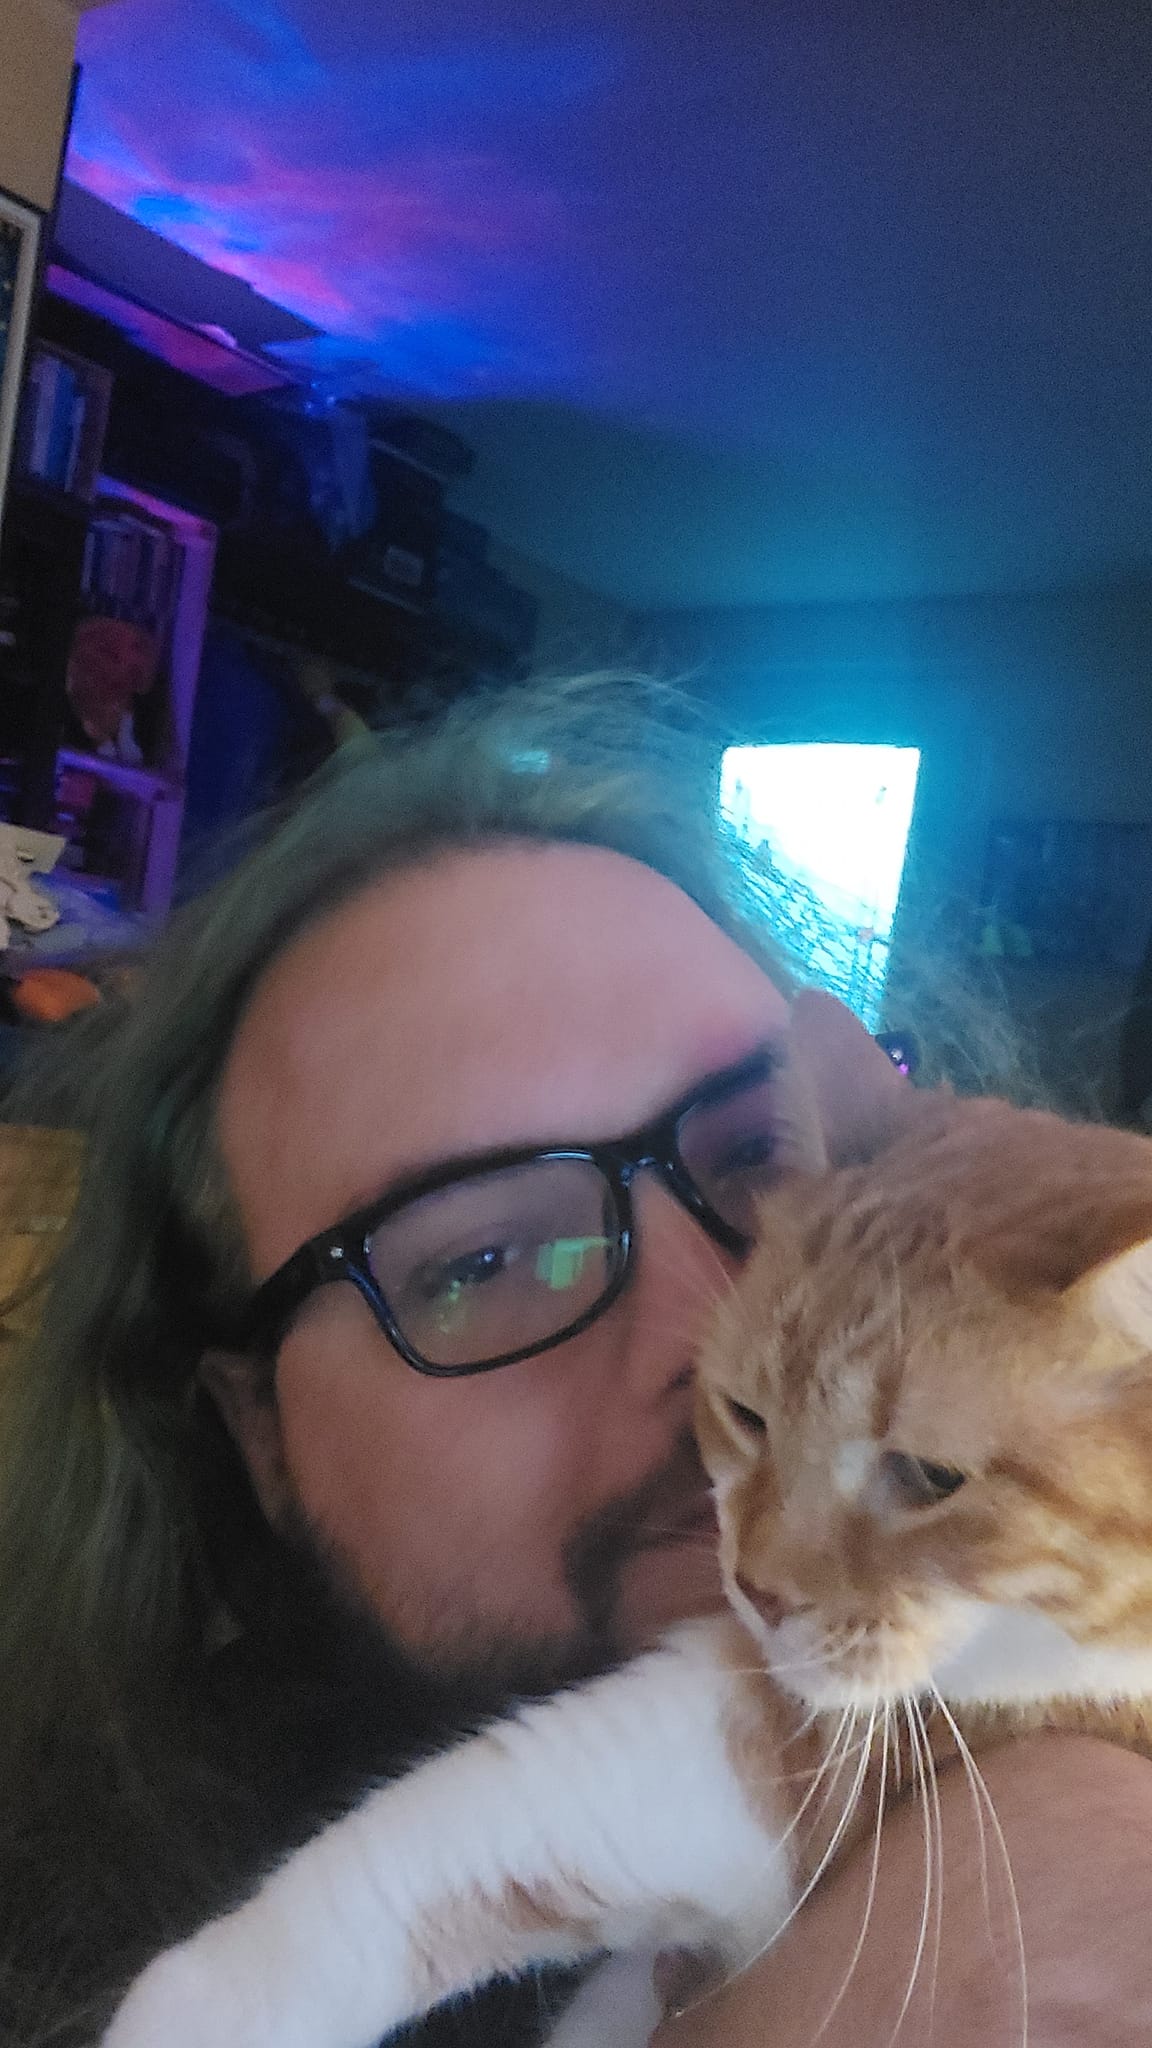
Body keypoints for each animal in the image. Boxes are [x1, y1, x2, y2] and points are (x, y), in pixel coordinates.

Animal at [103, 1097, 1147, 2048]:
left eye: (931, 1478)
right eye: (746, 1415)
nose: (756, 1590)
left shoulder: (793, 1762)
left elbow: (466, 1826)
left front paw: (189, 2008)